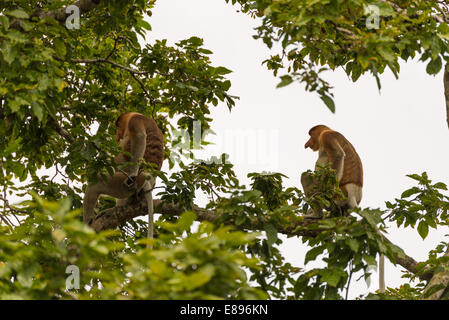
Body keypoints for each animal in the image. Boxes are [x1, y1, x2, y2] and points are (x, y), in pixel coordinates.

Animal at [83, 112, 164, 240]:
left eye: (118, 126)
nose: (117, 135)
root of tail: (149, 180)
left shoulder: (135, 121)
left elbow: (140, 137)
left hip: (132, 180)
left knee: (98, 181)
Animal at [300, 124, 384, 292]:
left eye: (311, 135)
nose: (307, 143)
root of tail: (353, 196)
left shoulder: (327, 136)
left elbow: (338, 155)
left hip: (339, 196)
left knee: (306, 176)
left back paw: (317, 214)